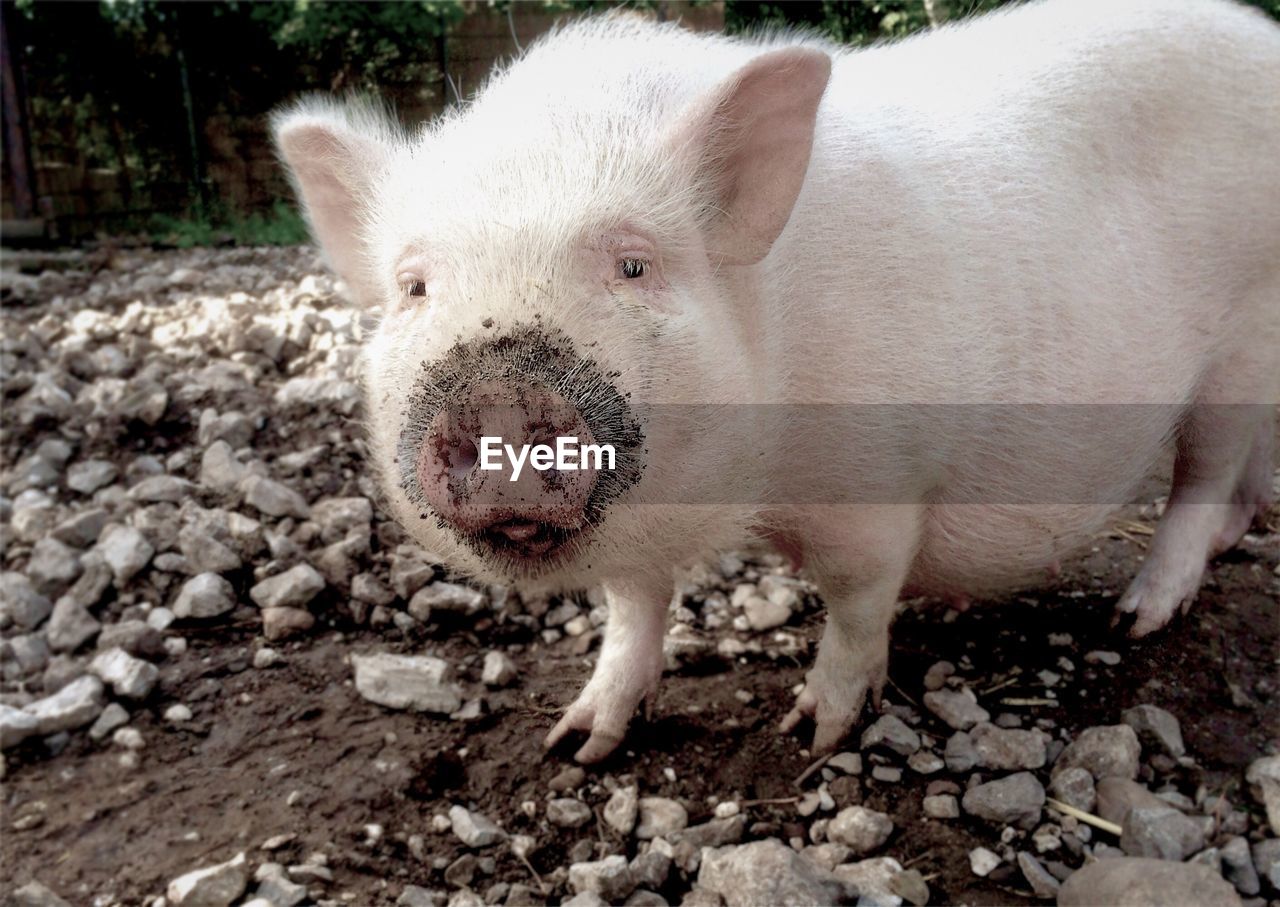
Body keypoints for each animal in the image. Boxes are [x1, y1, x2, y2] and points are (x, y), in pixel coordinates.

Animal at [272, 0, 1280, 762]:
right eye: (414, 286)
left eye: (634, 264)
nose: (497, 402)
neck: (749, 493)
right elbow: (633, 606)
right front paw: (576, 743)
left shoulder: (878, 483)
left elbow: (858, 599)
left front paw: (815, 735)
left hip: (1243, 353)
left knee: (1202, 478)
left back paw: (1134, 618)